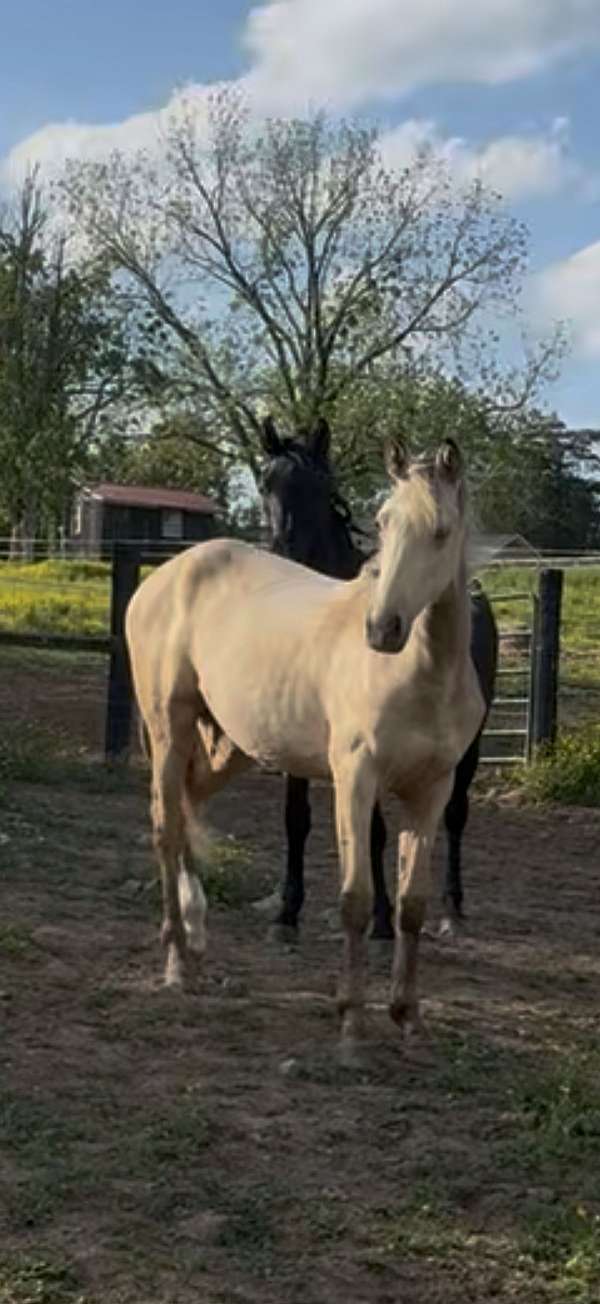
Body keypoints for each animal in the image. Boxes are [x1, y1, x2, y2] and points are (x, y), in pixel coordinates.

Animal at [259, 416, 498, 939]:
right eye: (265, 482)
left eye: (321, 485)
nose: (284, 552)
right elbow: (295, 817)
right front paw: (288, 911)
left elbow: (375, 830)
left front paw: (384, 918)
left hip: (469, 745)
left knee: (456, 814)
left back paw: (452, 906)